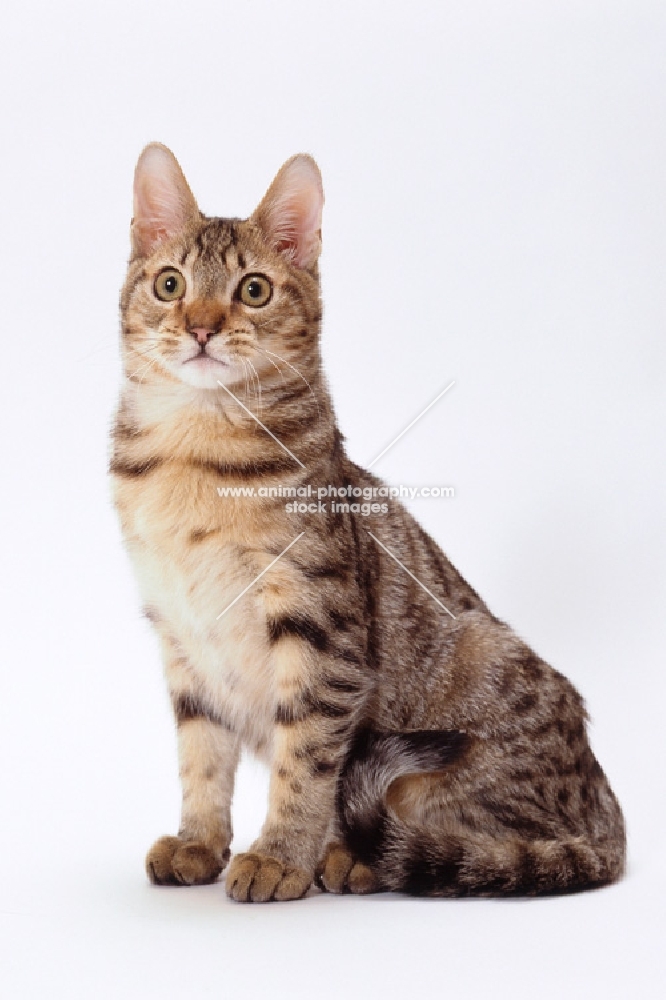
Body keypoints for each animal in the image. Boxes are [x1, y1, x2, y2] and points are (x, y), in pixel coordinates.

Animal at [111, 145, 624, 904]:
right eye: (169, 284)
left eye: (254, 290)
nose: (201, 327)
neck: (191, 453)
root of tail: (609, 813)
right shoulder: (182, 634)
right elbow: (200, 755)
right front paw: (200, 841)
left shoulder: (321, 627)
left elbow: (305, 760)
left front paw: (280, 855)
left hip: (480, 669)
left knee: (483, 835)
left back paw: (353, 858)